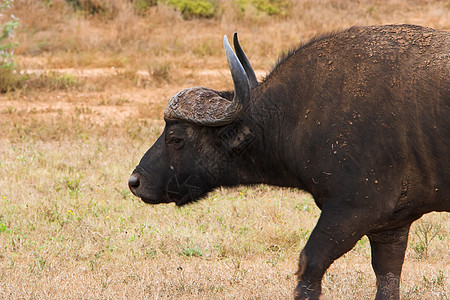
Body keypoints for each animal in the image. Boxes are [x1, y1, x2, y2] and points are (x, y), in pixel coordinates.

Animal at [128, 25, 448, 300]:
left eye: (176, 137)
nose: (135, 181)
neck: (300, 112)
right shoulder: (391, 228)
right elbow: (387, 280)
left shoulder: (354, 210)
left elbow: (309, 265)